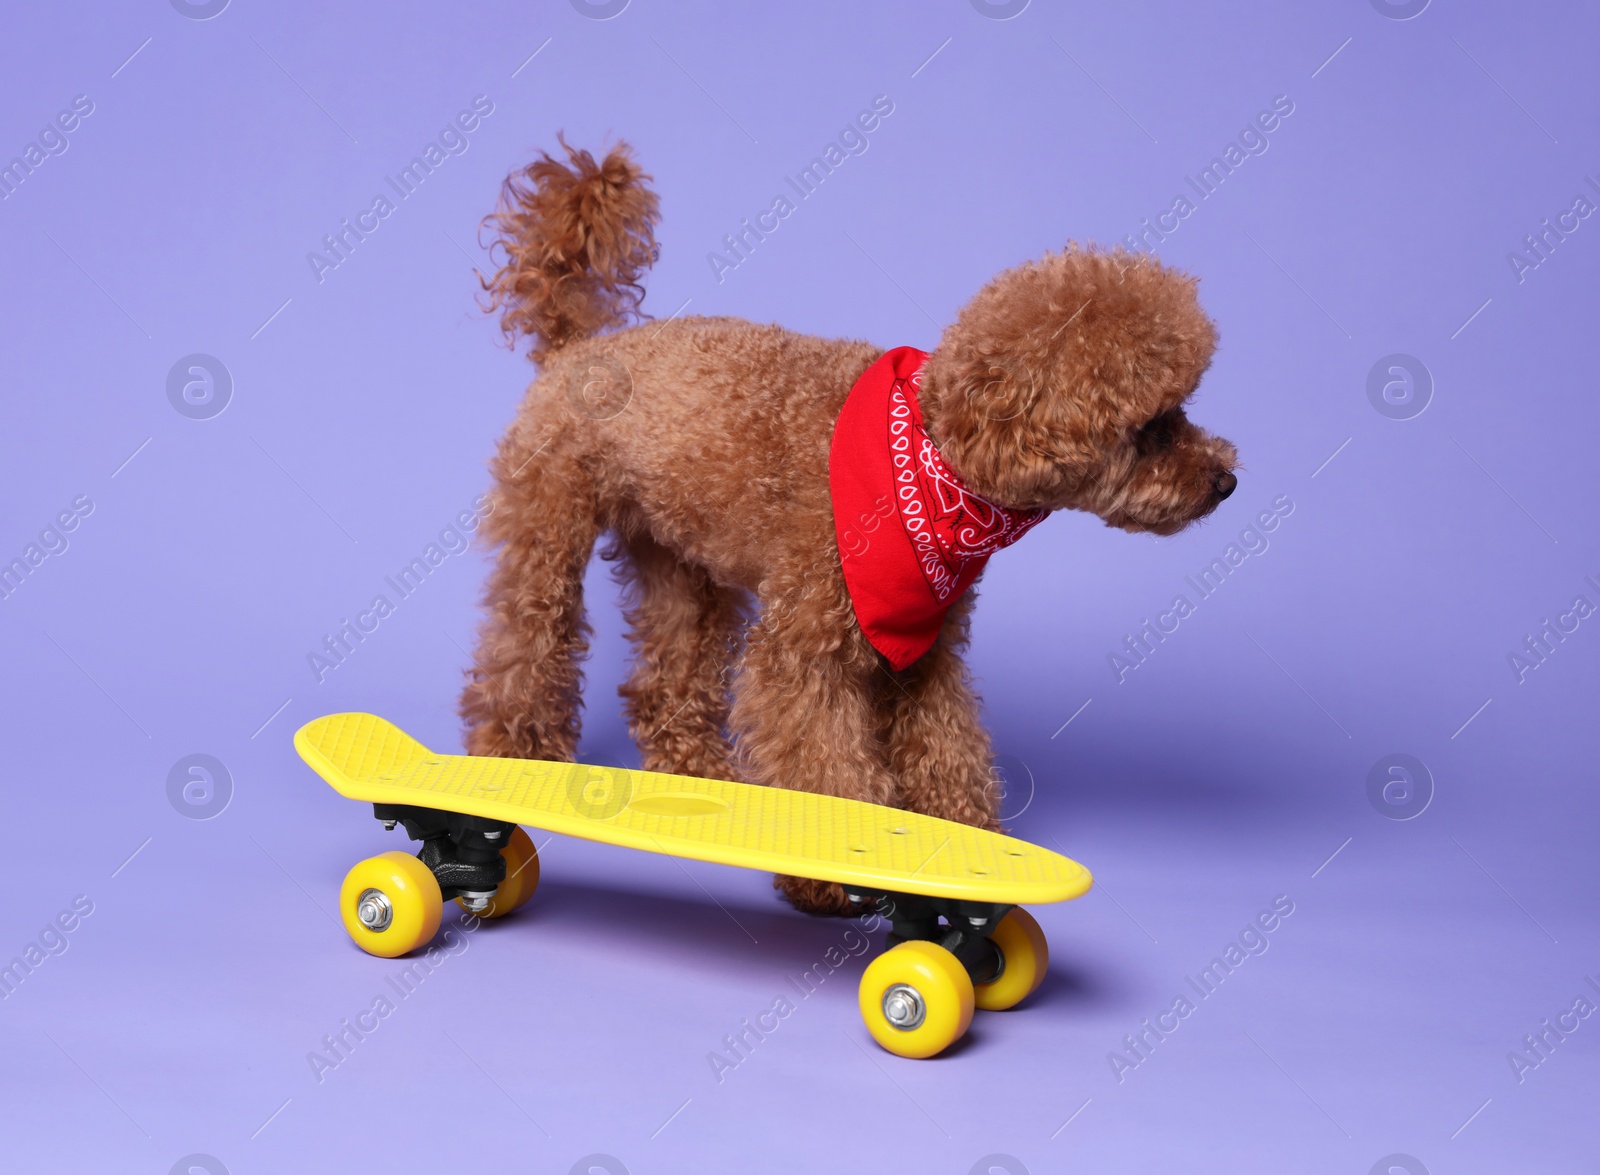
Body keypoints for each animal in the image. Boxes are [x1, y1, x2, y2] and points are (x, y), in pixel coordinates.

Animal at [464, 133, 1235, 915]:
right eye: (1153, 427)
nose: (1226, 480)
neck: (934, 457)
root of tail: (578, 348)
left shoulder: (925, 647)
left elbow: (947, 744)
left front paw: (967, 844)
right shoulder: (807, 649)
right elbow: (822, 759)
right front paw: (834, 871)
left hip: (680, 556)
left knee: (669, 678)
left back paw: (698, 770)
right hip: (549, 525)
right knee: (526, 641)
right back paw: (517, 755)